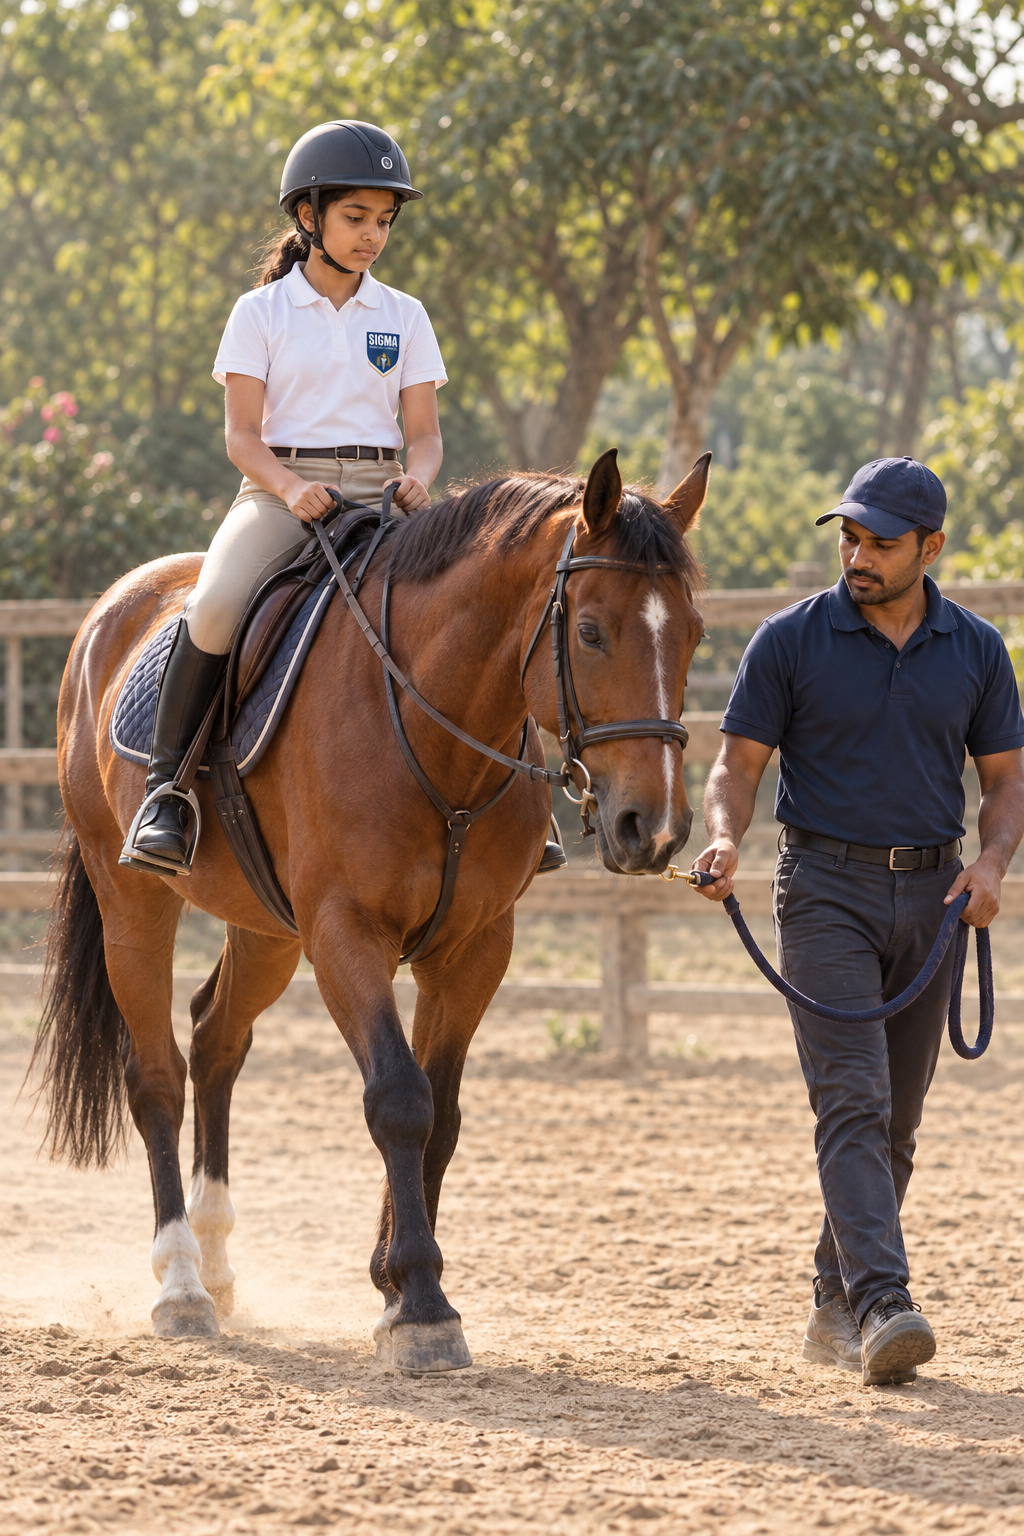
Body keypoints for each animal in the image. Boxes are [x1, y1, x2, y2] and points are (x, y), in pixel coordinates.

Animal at [33, 446, 709, 1372]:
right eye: (592, 631)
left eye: (695, 634)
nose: (655, 827)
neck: (431, 729)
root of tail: (109, 612)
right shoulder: (346, 934)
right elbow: (398, 1099)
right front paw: (420, 1303)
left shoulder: (474, 948)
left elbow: (441, 1115)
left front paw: (394, 1284)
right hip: (133, 899)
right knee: (158, 1076)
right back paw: (180, 1285)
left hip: (265, 929)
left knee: (214, 1041)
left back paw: (217, 1260)